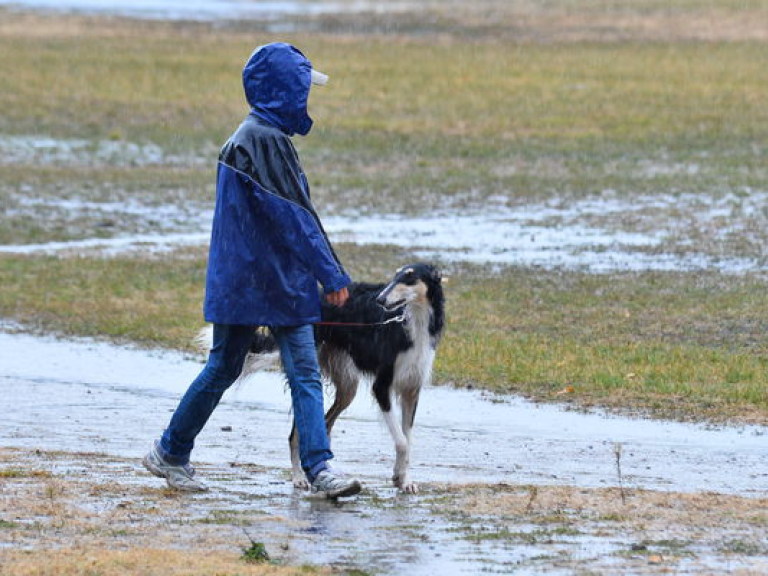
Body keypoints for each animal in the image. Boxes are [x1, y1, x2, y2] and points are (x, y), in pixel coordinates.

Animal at [240, 264, 444, 492]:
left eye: (409, 277)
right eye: (395, 276)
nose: (380, 299)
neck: (412, 323)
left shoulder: (411, 390)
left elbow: (407, 441)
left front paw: (404, 480)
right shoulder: (381, 386)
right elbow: (401, 442)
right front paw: (398, 477)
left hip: (348, 387)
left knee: (325, 425)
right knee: (296, 434)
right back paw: (299, 477)